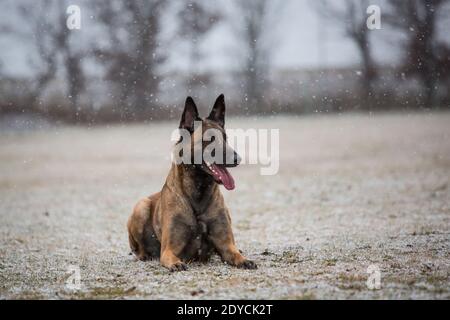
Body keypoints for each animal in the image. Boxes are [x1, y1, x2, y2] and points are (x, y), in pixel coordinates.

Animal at [128, 94, 258, 272]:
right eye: (209, 140)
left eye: (226, 139)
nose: (237, 159)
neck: (198, 194)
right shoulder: (169, 250)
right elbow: (170, 257)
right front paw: (176, 264)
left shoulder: (226, 246)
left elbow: (234, 253)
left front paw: (244, 260)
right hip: (141, 206)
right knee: (138, 248)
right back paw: (144, 255)